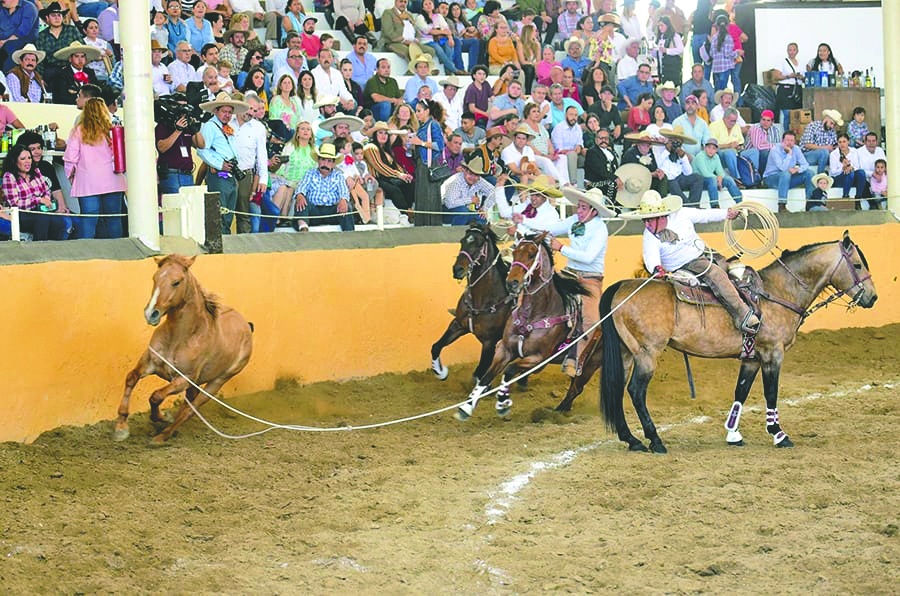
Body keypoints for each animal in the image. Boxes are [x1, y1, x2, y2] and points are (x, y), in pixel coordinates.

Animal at [113, 254, 253, 444]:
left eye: (176, 282)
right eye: (154, 278)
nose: (151, 314)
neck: (179, 338)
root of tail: (246, 325)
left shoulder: (183, 379)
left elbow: (156, 396)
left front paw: (163, 417)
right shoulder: (149, 362)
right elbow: (131, 378)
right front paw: (121, 427)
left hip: (218, 381)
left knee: (190, 409)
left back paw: (162, 436)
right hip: (198, 383)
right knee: (189, 403)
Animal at [430, 224, 512, 382]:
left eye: (479, 243)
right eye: (462, 241)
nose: (458, 269)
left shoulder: (489, 342)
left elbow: (480, 373)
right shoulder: (458, 325)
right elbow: (436, 347)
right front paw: (441, 372)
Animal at [458, 230, 592, 422]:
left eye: (531, 254)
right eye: (514, 252)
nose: (512, 282)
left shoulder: (538, 358)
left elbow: (509, 371)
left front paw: (502, 402)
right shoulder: (504, 349)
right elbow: (486, 376)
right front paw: (466, 407)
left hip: (591, 361)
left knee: (577, 387)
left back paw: (556, 412)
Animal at [596, 232, 880, 452]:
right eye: (857, 265)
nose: (873, 297)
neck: (777, 292)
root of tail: (621, 287)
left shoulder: (752, 358)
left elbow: (740, 392)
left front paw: (733, 434)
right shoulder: (772, 354)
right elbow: (771, 393)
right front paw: (779, 434)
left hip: (626, 353)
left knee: (618, 389)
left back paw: (632, 440)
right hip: (647, 353)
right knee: (636, 391)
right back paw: (655, 440)